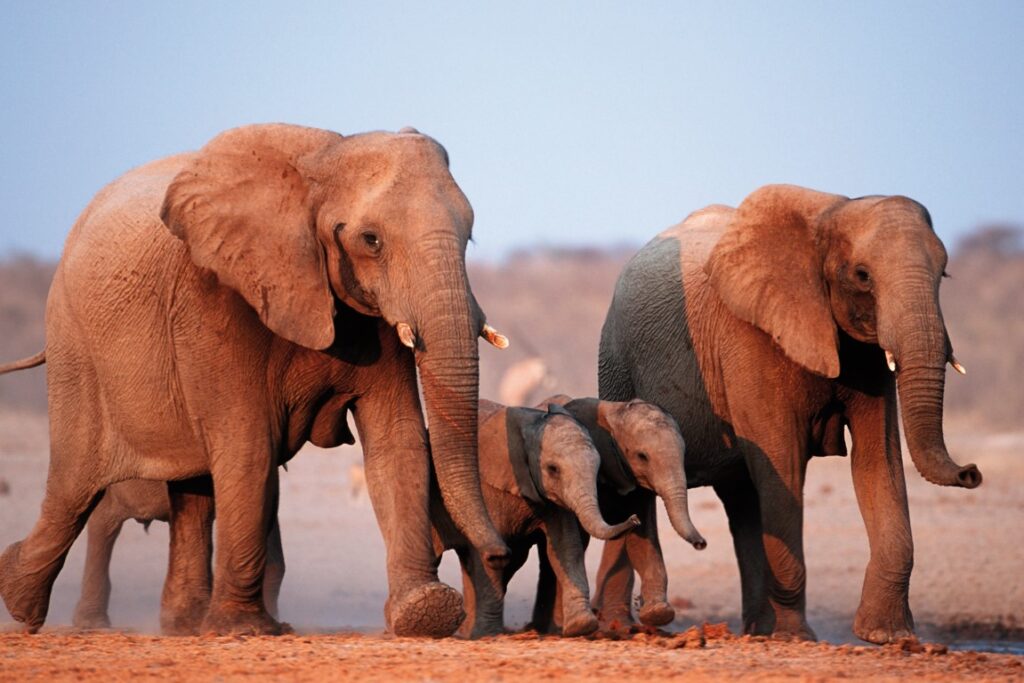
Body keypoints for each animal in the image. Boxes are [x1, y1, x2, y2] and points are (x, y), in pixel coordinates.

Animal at [432, 401, 638, 643]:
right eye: (553, 469)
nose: (634, 518)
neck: (532, 423)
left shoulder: (554, 498)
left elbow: (566, 546)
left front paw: (582, 625)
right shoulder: (487, 490)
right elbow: (489, 558)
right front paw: (488, 634)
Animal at [532, 397, 708, 634]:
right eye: (642, 456)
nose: (701, 544)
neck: (615, 412)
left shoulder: (636, 485)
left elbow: (642, 538)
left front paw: (657, 613)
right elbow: (576, 542)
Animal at [598, 184, 983, 643]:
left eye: (944, 274)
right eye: (862, 276)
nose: (971, 473)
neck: (829, 216)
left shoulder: (866, 357)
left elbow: (878, 461)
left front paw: (889, 637)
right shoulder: (749, 338)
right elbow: (782, 464)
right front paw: (798, 637)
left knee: (742, 500)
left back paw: (756, 631)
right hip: (616, 362)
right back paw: (621, 627)